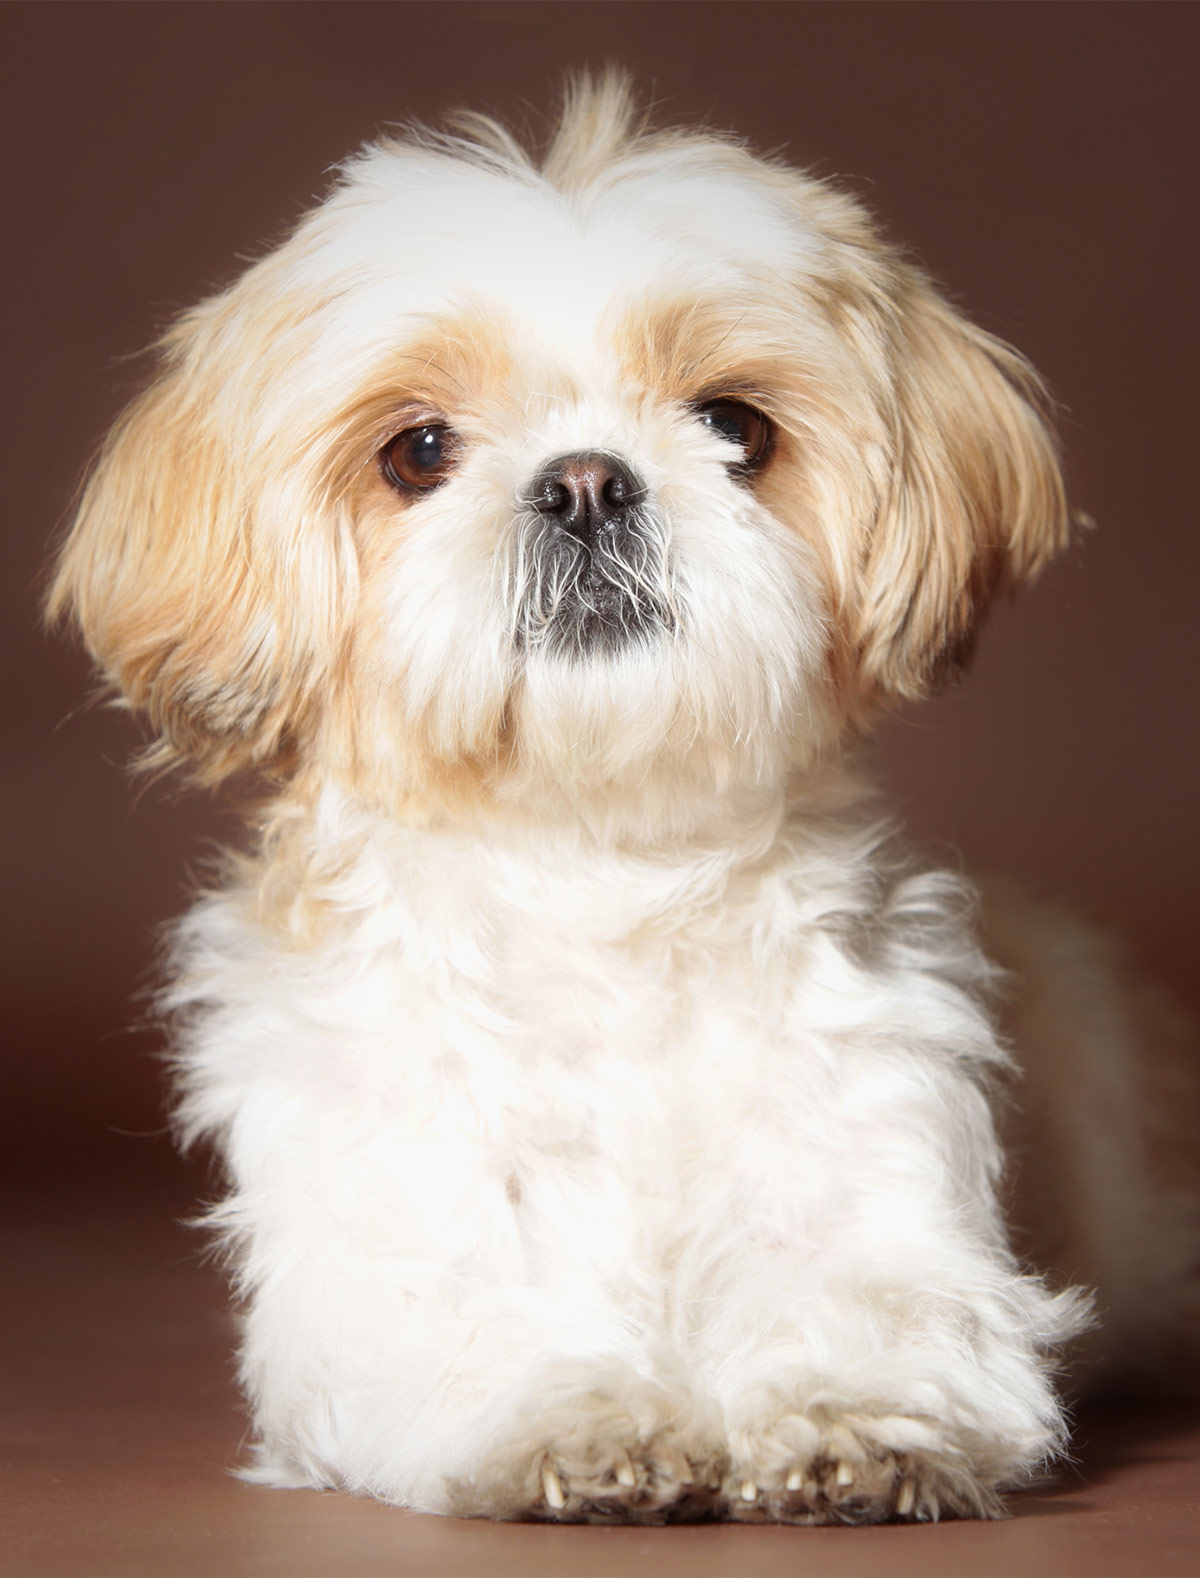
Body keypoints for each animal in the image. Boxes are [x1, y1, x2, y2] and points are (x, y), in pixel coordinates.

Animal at [49, 76, 1200, 1527]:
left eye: (736, 427)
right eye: (418, 451)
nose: (587, 480)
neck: (600, 870)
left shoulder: (877, 1165)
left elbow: (879, 1303)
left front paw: (851, 1414)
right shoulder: (389, 1240)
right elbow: (474, 1316)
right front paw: (577, 1416)